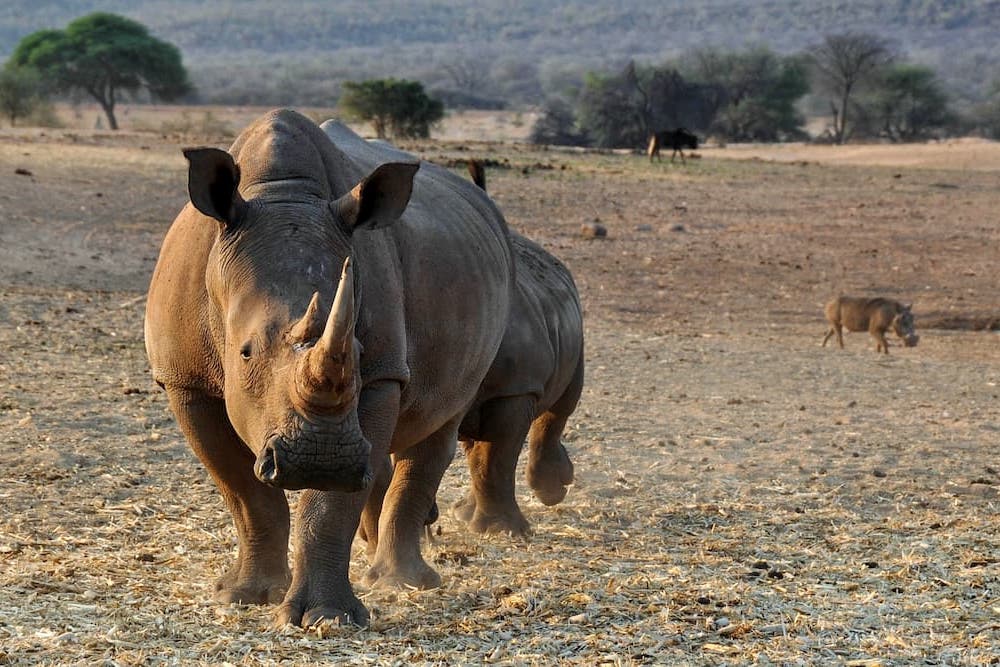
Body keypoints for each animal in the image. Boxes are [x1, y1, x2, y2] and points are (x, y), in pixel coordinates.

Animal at [144, 109, 514, 627]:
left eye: (356, 352)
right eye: (244, 353)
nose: (321, 459)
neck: (282, 193)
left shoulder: (381, 373)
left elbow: (331, 504)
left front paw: (327, 617)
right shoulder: (184, 380)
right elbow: (245, 492)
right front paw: (245, 595)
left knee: (437, 425)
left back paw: (404, 581)